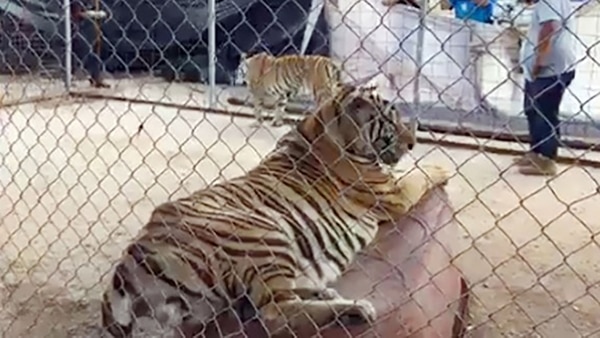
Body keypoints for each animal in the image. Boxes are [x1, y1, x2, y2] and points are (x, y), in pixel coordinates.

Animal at [102, 82, 450, 338]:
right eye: (390, 121)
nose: (412, 143)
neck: (325, 124)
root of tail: (131, 260)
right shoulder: (393, 193)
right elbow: (421, 174)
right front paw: (442, 169)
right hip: (263, 233)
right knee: (276, 313)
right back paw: (354, 309)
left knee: (260, 303)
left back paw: (327, 295)